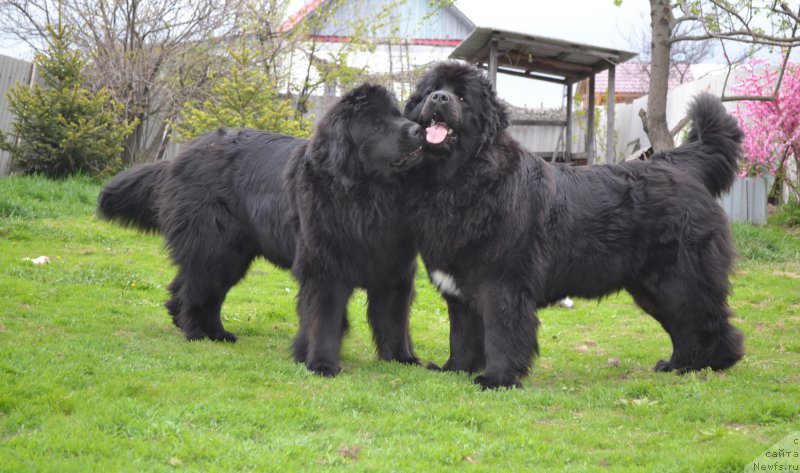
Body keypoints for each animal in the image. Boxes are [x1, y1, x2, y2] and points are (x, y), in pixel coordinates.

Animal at [98, 83, 424, 374]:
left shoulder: (394, 271)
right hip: (216, 249)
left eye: (398, 115)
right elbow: (325, 319)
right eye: (377, 125)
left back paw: (205, 329)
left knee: (196, 289)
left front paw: (404, 359)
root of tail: (182, 155)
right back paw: (200, 332)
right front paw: (321, 364)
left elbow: (394, 319)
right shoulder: (324, 269)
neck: (367, 196)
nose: (417, 130)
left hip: (231, 255)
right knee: (199, 290)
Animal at [404, 60, 748, 390]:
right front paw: (454, 368)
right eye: (431, 91)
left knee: (707, 319)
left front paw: (497, 379)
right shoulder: (460, 291)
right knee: (683, 326)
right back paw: (677, 365)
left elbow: (501, 334)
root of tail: (680, 165)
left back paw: (714, 362)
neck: (460, 180)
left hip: (679, 278)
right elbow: (462, 335)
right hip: (652, 288)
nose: (440, 98)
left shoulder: (503, 283)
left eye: (463, 98)